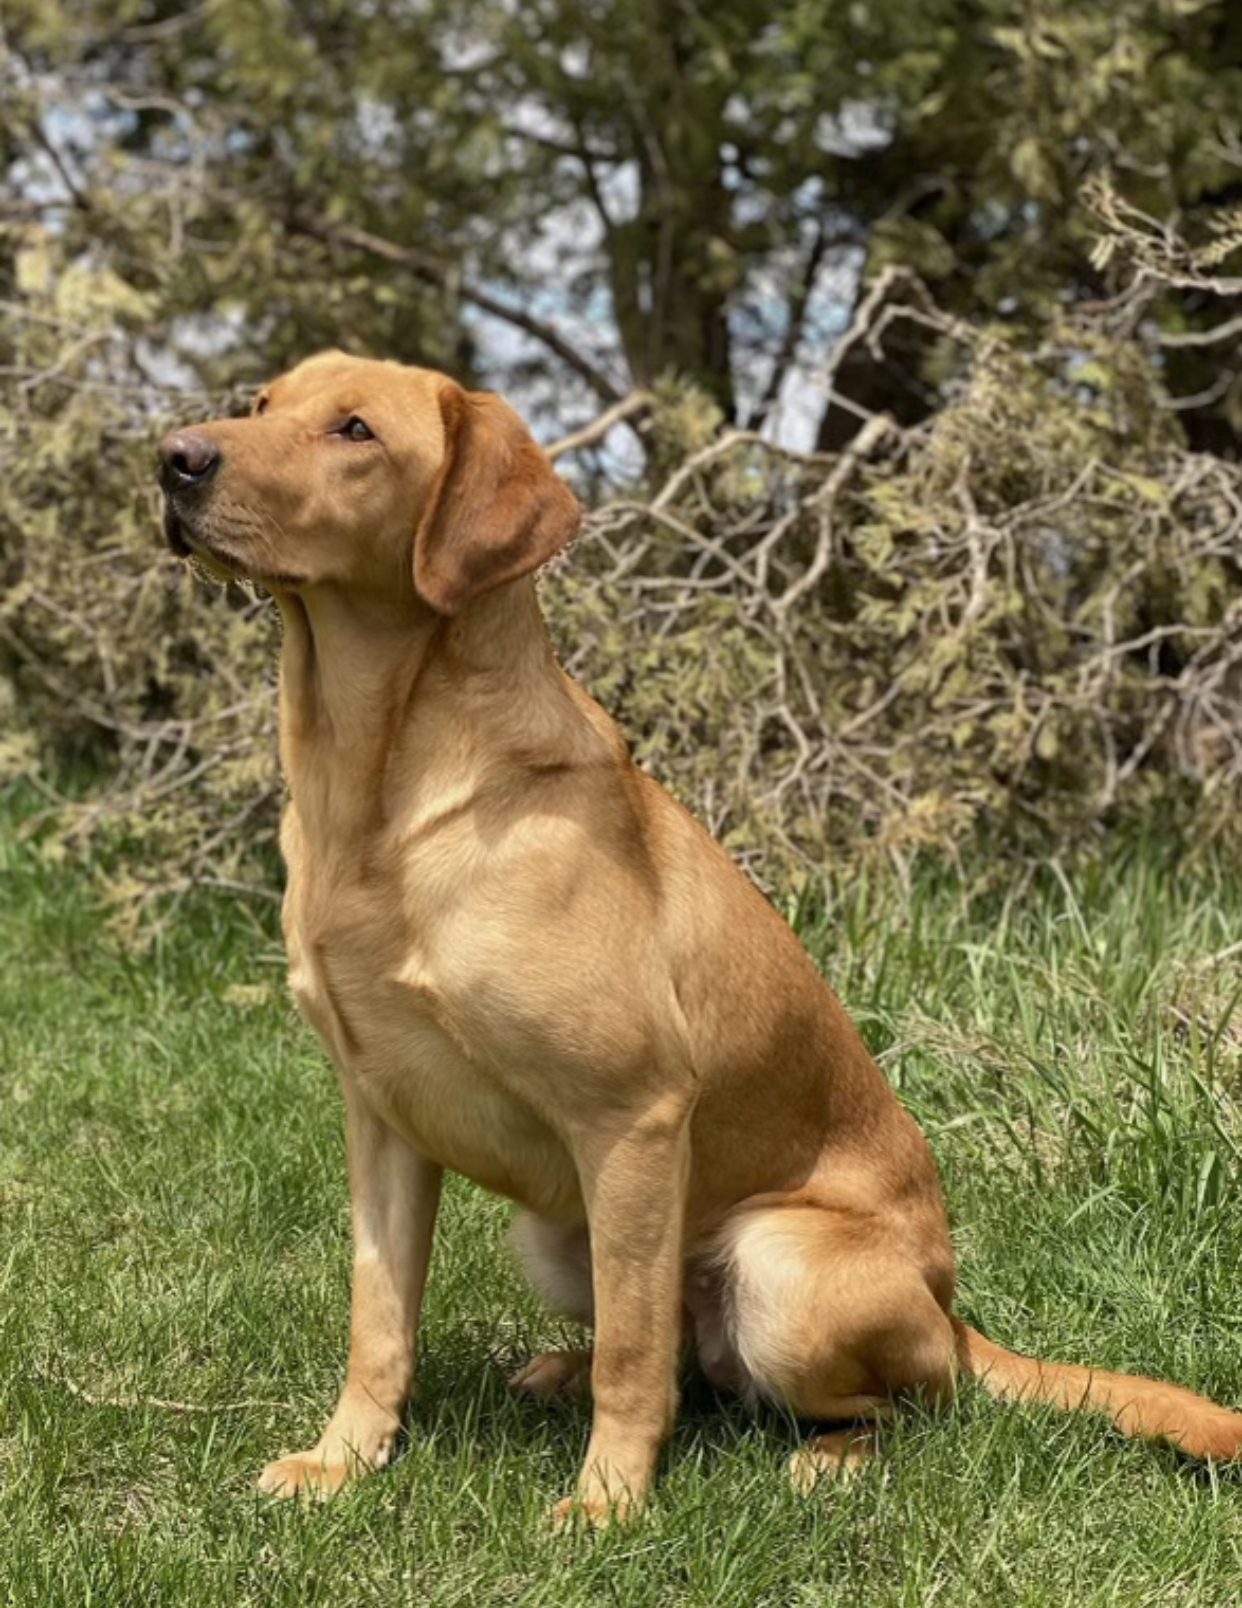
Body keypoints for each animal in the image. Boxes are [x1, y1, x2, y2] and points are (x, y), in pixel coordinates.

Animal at [157, 352, 1242, 1517]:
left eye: (355, 430)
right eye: (262, 405)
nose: (172, 458)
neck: (375, 795)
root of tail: (952, 1311)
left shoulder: (632, 1115)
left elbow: (635, 1363)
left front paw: (608, 1503)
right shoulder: (384, 1121)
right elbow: (380, 1324)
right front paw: (345, 1459)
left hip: (776, 1264)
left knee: (888, 1400)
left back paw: (828, 1456)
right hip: (555, 1231)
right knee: (689, 1355)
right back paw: (557, 1369)